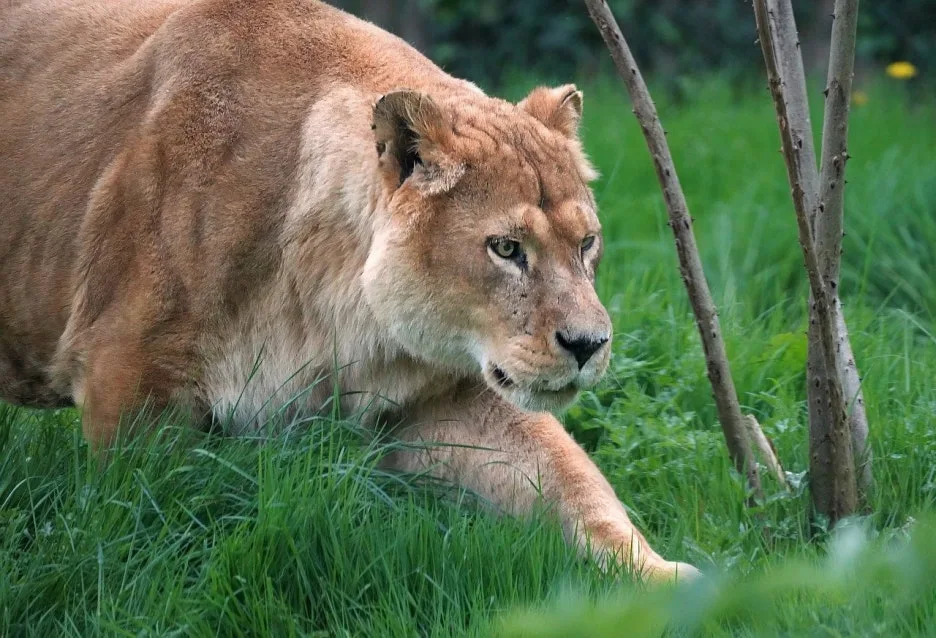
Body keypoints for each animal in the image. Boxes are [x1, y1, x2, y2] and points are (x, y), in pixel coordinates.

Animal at [0, 0, 698, 581]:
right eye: (506, 249)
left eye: (586, 244)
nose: (588, 345)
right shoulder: (129, 378)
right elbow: (140, 522)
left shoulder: (449, 396)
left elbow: (569, 486)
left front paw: (677, 587)